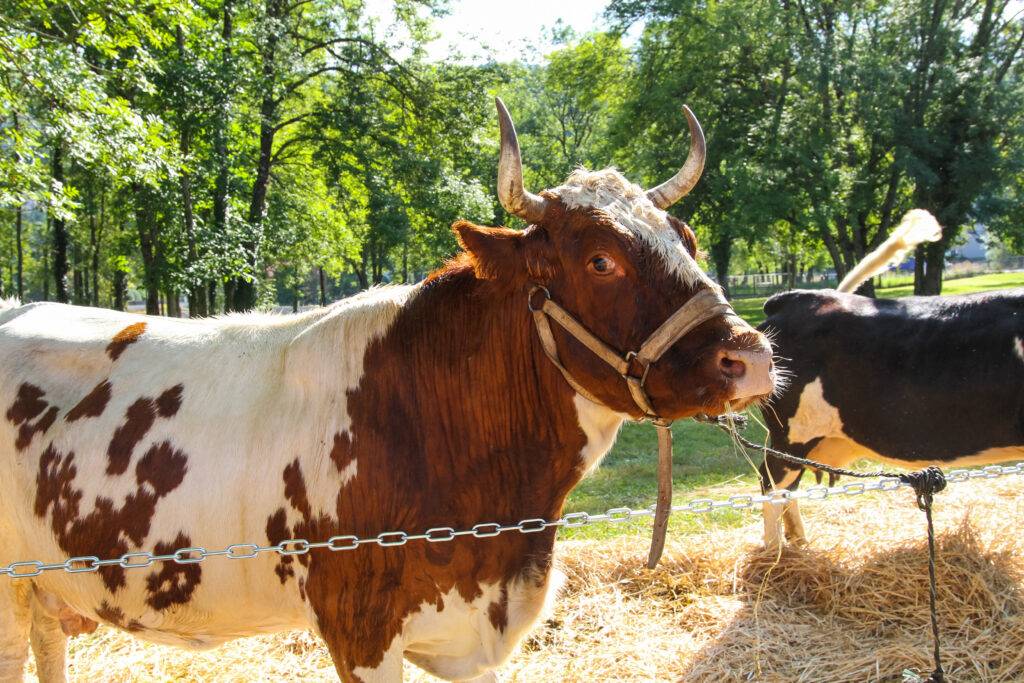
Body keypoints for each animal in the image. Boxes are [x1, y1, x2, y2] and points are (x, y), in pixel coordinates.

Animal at [758, 209, 1024, 548]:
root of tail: (795, 297)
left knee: (786, 489)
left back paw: (798, 540)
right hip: (791, 435)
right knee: (771, 485)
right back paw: (774, 552)